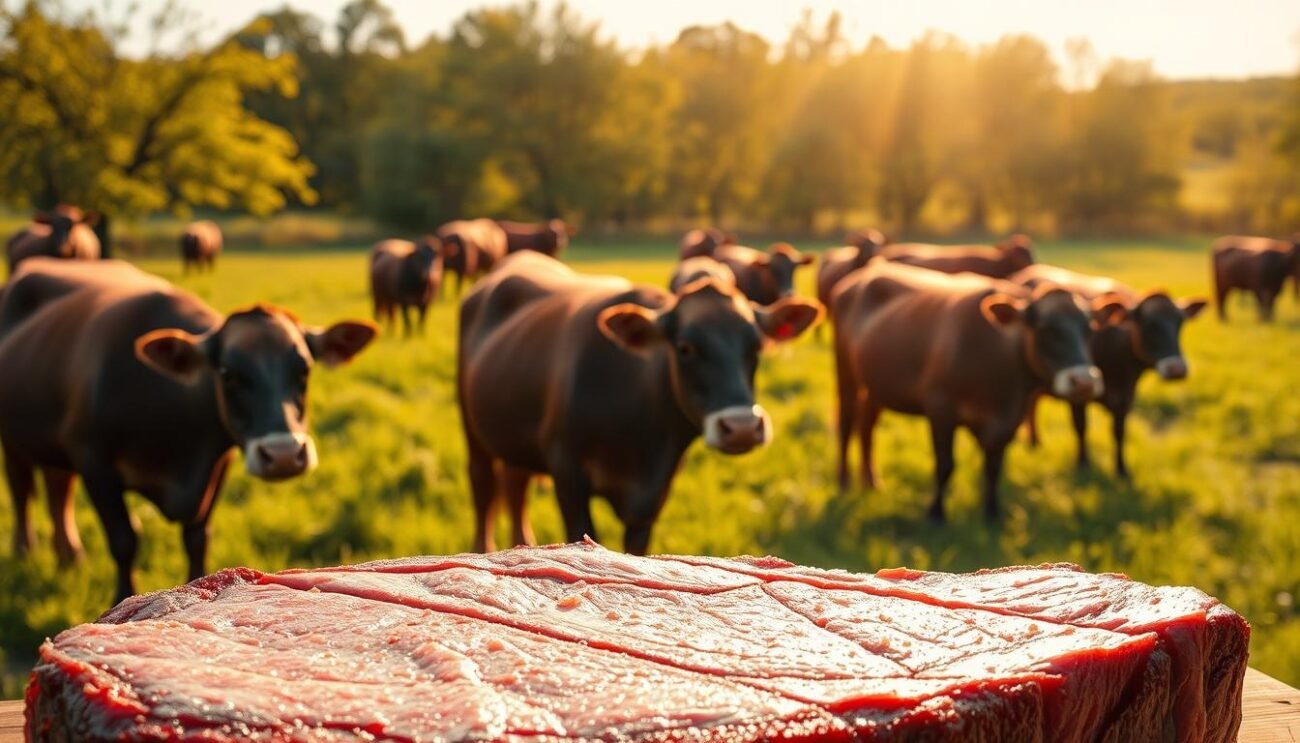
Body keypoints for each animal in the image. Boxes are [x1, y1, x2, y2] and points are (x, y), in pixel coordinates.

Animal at [0, 258, 377, 603]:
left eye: (304, 370)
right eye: (228, 373)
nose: (283, 455)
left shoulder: (216, 465)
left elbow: (197, 538)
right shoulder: (95, 463)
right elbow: (124, 541)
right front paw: (122, 596)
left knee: (57, 489)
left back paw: (69, 556)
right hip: (14, 441)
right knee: (22, 491)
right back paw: (24, 549)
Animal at [458, 252, 822, 554]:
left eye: (757, 346)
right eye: (685, 347)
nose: (742, 428)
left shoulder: (651, 500)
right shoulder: (568, 473)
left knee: (515, 484)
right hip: (473, 428)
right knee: (482, 486)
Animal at [831, 261, 1114, 522]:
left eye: (1090, 330)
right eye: (1046, 331)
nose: (1084, 381)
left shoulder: (1006, 422)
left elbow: (993, 468)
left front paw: (992, 513)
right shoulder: (941, 410)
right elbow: (945, 464)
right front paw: (936, 513)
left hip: (874, 386)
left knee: (866, 427)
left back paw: (871, 481)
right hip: (845, 373)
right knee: (846, 423)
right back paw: (843, 482)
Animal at [1010, 265, 1208, 477]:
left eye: (1180, 323)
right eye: (1150, 325)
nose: (1177, 369)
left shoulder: (1125, 399)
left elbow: (1119, 433)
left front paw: (1121, 469)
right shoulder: (1079, 395)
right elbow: (1081, 427)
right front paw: (1083, 462)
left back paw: (1034, 441)